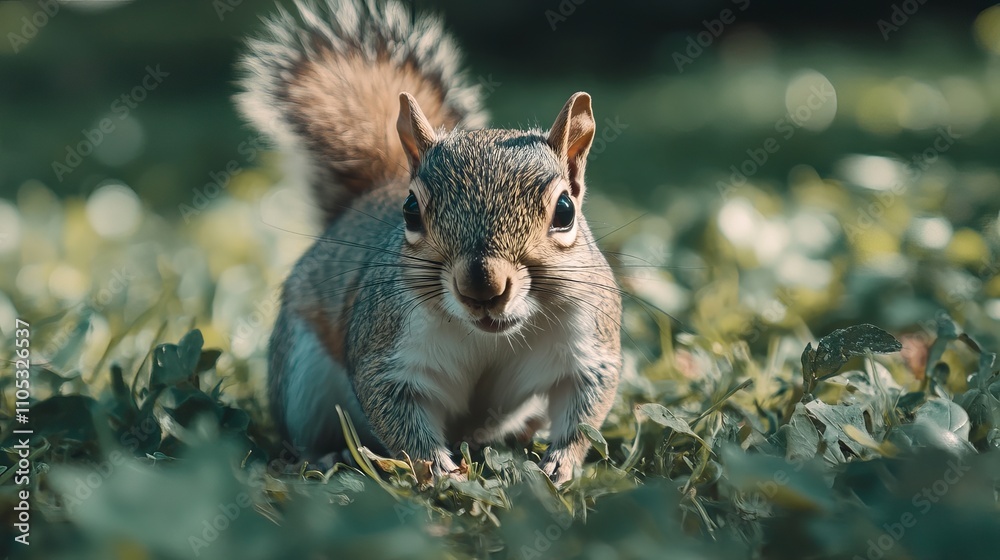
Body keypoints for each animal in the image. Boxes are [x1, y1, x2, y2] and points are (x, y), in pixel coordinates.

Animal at [236, 0, 622, 484]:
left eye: (565, 211)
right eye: (410, 211)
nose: (482, 287)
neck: (487, 335)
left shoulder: (588, 341)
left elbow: (586, 403)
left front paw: (560, 464)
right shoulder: (387, 350)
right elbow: (397, 415)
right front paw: (441, 472)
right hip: (300, 377)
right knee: (301, 435)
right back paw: (323, 457)